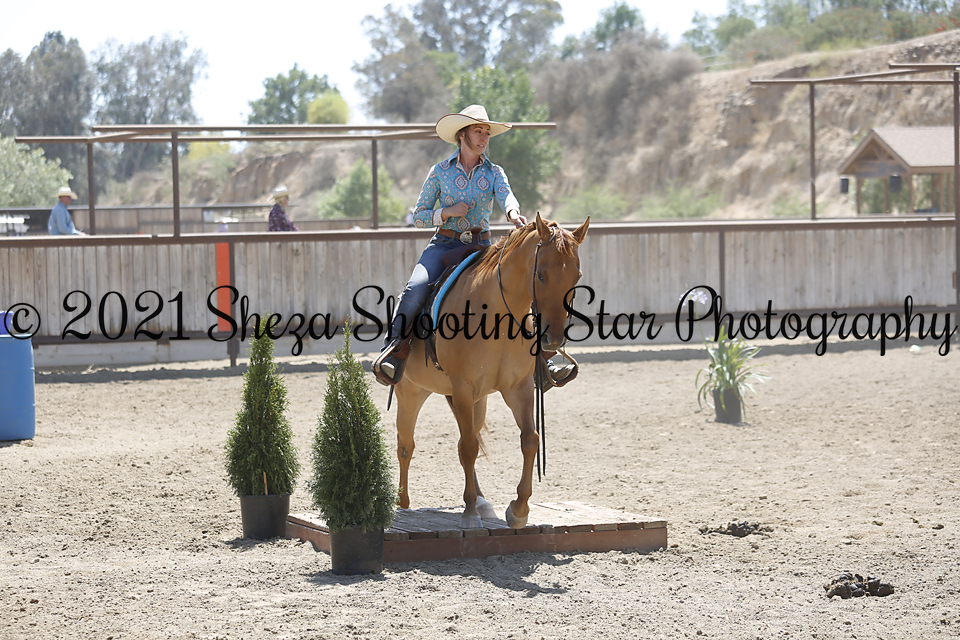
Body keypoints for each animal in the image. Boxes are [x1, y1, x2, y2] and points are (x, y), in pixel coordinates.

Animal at [393, 213, 590, 529]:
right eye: (541, 274)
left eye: (577, 277)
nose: (554, 338)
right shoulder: (462, 387)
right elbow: (468, 448)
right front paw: (470, 513)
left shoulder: (519, 387)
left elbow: (529, 440)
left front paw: (519, 509)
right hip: (411, 392)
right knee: (406, 445)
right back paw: (403, 504)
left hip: (478, 401)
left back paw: (482, 501)